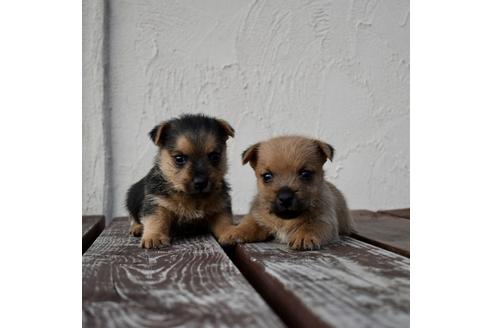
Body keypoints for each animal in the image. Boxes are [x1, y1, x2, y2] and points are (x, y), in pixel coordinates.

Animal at [125, 114, 236, 247]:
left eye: (215, 156)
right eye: (179, 158)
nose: (201, 182)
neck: (192, 197)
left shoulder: (219, 203)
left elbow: (224, 220)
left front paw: (230, 232)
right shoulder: (157, 201)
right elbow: (156, 219)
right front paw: (154, 237)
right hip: (131, 198)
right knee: (134, 217)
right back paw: (136, 228)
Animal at [225, 135, 356, 250]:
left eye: (305, 174)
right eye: (267, 176)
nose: (285, 197)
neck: (285, 221)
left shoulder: (325, 221)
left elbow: (311, 226)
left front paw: (304, 236)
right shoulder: (258, 215)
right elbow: (249, 223)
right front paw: (235, 231)